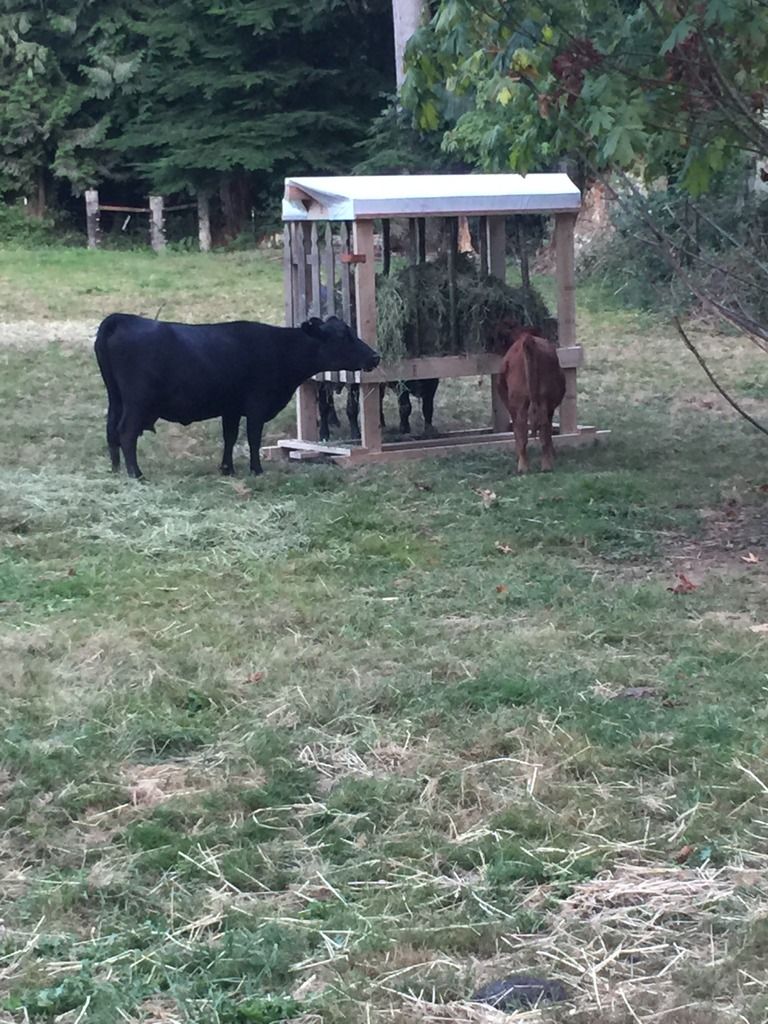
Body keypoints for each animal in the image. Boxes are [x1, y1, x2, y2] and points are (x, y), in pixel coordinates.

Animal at [94, 313, 380, 479]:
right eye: (343, 335)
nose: (375, 356)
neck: (281, 349)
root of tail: (122, 319)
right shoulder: (257, 405)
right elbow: (252, 438)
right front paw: (256, 469)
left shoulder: (230, 408)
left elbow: (230, 437)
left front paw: (227, 469)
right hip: (137, 402)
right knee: (126, 432)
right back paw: (136, 473)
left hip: (116, 399)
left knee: (110, 431)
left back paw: (116, 469)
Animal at [495, 322, 566, 474]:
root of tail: (528, 340)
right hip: (542, 400)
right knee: (543, 429)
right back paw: (545, 465)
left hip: (521, 402)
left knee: (523, 430)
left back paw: (524, 466)